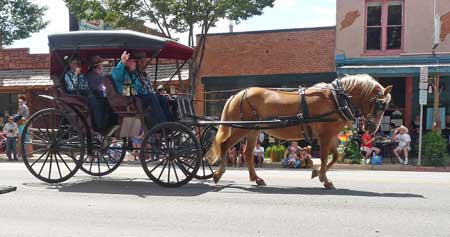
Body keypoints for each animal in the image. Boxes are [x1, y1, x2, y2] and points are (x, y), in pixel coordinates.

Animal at [207, 74, 390, 189]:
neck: (337, 99)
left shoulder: (329, 135)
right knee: (225, 146)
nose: (372, 129)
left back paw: (257, 179)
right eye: (380, 105)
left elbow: (335, 156)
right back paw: (218, 174)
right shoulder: (325, 135)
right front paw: (324, 179)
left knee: (247, 153)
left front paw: (316, 173)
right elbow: (325, 157)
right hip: (242, 129)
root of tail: (236, 95)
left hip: (252, 130)